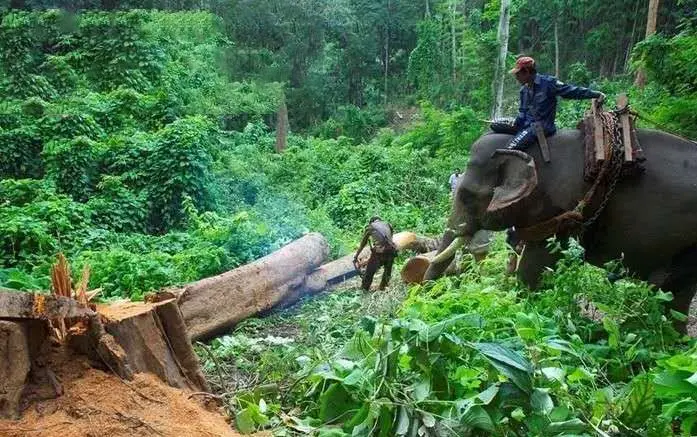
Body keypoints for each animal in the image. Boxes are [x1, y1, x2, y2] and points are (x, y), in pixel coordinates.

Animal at [422, 127, 696, 328]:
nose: (421, 299)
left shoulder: (563, 209)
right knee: (675, 295)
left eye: (467, 196)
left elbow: (534, 268)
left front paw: (520, 312)